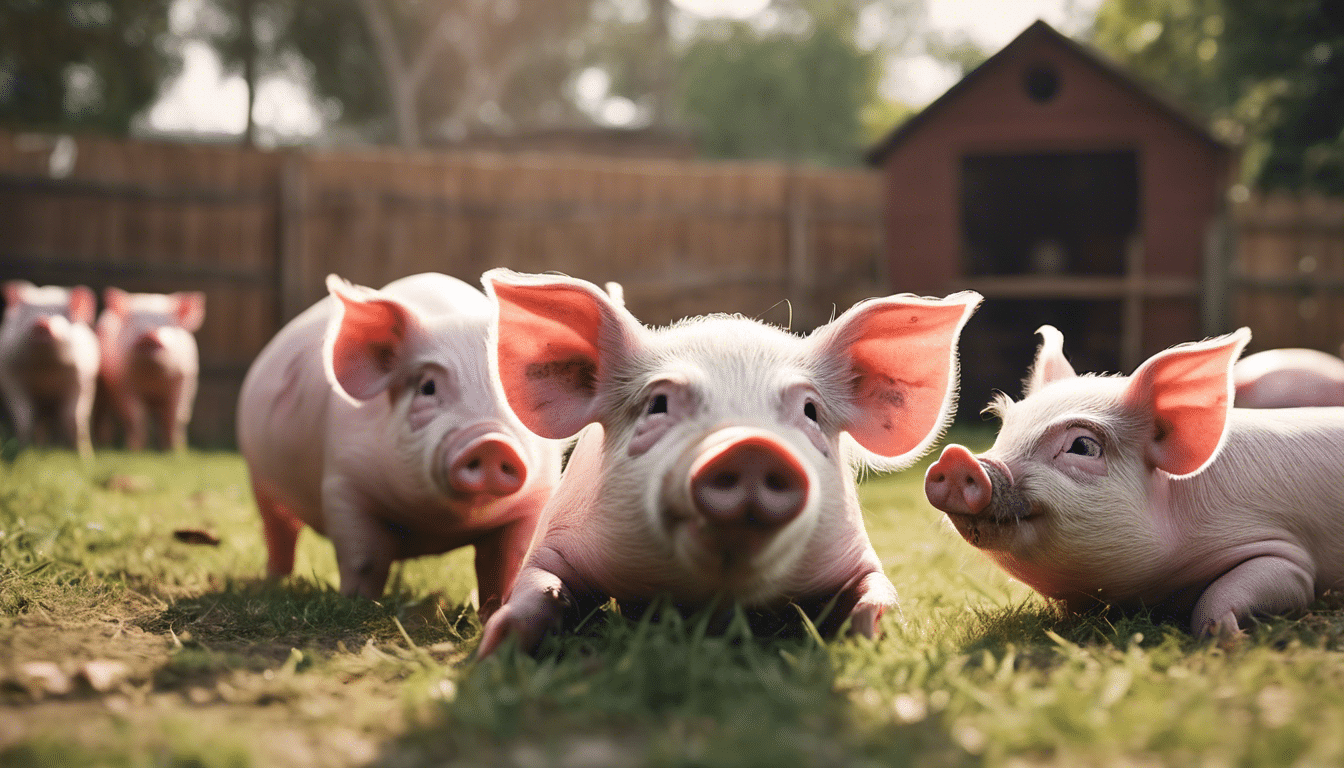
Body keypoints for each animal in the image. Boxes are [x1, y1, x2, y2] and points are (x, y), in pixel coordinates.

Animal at [0, 283, 100, 459]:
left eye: (60, 313)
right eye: (26, 314)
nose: (41, 321)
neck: (46, 368)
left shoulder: (83, 380)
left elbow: (73, 419)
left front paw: (85, 460)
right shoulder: (10, 379)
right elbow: (24, 419)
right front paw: (22, 456)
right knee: (40, 424)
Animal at [97, 291, 205, 454]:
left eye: (166, 322)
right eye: (132, 322)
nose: (148, 333)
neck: (152, 377)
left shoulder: (185, 380)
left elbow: (176, 416)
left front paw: (176, 452)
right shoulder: (123, 384)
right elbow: (135, 417)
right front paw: (135, 451)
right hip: (103, 391)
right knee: (105, 414)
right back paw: (105, 446)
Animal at [236, 273, 561, 616]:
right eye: (427, 388)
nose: (491, 443)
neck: (436, 525)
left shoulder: (535, 498)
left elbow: (505, 563)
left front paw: (492, 613)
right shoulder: (345, 483)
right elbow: (364, 559)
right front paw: (357, 605)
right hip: (258, 477)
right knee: (279, 529)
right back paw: (273, 581)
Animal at [478, 269, 983, 656]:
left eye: (810, 411)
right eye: (658, 403)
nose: (751, 446)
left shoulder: (853, 553)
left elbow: (877, 592)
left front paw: (881, 633)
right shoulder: (558, 536)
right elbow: (538, 585)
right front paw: (493, 649)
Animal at [930, 328, 1344, 640]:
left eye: (1082, 446)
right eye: (1004, 431)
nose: (955, 458)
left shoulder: (1284, 551)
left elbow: (1249, 588)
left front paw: (1228, 636)